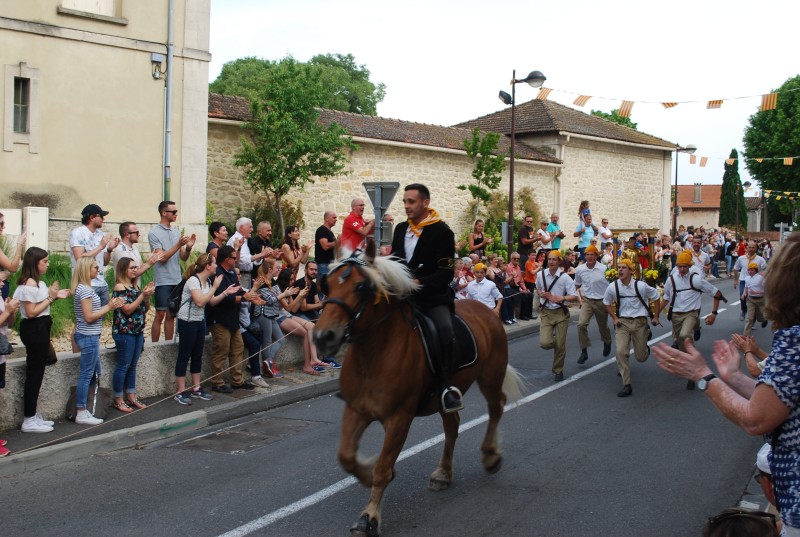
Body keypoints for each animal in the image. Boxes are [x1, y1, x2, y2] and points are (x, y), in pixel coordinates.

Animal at [312, 244, 524, 536]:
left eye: (360, 286)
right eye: (327, 284)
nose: (323, 337)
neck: (374, 354)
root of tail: (484, 309)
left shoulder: (399, 418)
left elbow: (383, 468)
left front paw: (369, 516)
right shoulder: (356, 410)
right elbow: (347, 457)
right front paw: (365, 474)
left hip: (490, 377)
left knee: (496, 408)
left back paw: (491, 456)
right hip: (448, 395)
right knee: (452, 425)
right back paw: (443, 473)